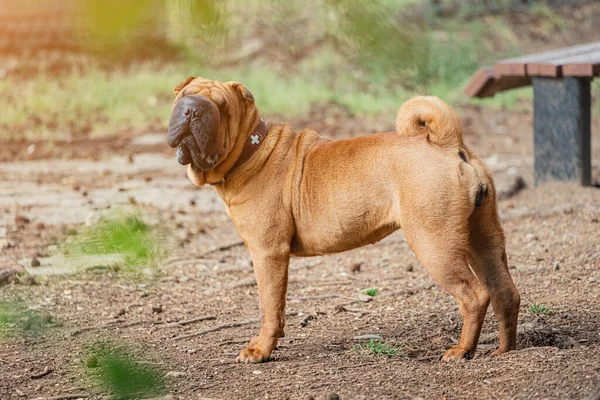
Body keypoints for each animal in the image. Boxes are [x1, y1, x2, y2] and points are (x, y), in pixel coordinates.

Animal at [165, 76, 520, 364]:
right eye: (182, 96)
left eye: (222, 107)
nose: (192, 110)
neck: (252, 151)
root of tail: (449, 143)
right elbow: (276, 308)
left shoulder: (268, 253)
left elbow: (270, 308)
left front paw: (261, 350)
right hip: (483, 239)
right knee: (505, 293)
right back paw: (504, 351)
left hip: (434, 245)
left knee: (474, 296)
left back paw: (462, 351)